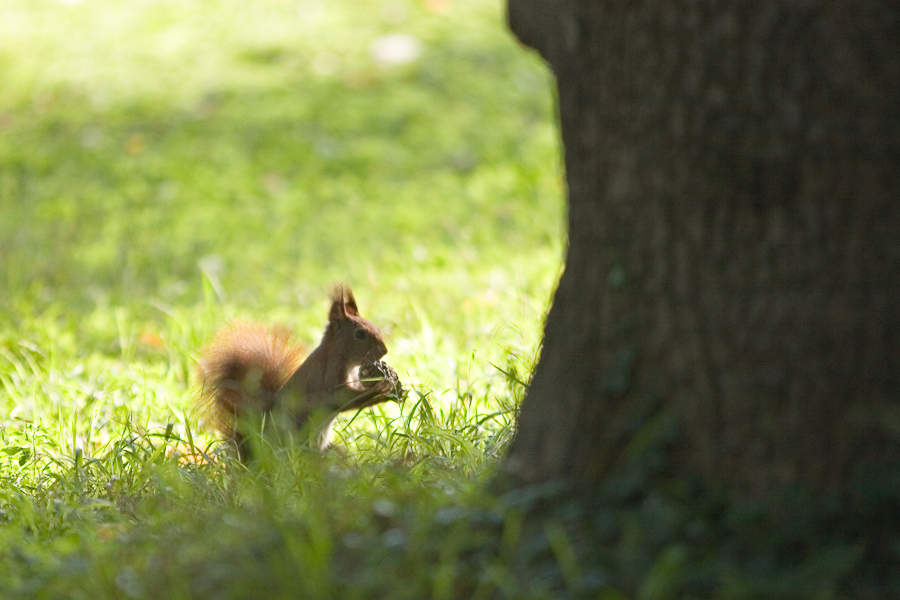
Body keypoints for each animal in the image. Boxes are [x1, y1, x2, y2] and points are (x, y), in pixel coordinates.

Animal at [200, 284, 404, 458]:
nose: (384, 350)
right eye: (360, 334)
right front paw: (381, 388)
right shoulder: (330, 375)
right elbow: (343, 398)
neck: (341, 356)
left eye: (376, 327)